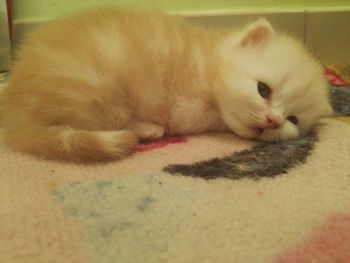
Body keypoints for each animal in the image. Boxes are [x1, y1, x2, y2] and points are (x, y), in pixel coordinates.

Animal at [0, 7, 330, 163]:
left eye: (292, 120)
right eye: (263, 90)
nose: (273, 121)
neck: (206, 64)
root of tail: (15, 113)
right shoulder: (185, 106)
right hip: (99, 89)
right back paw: (147, 129)